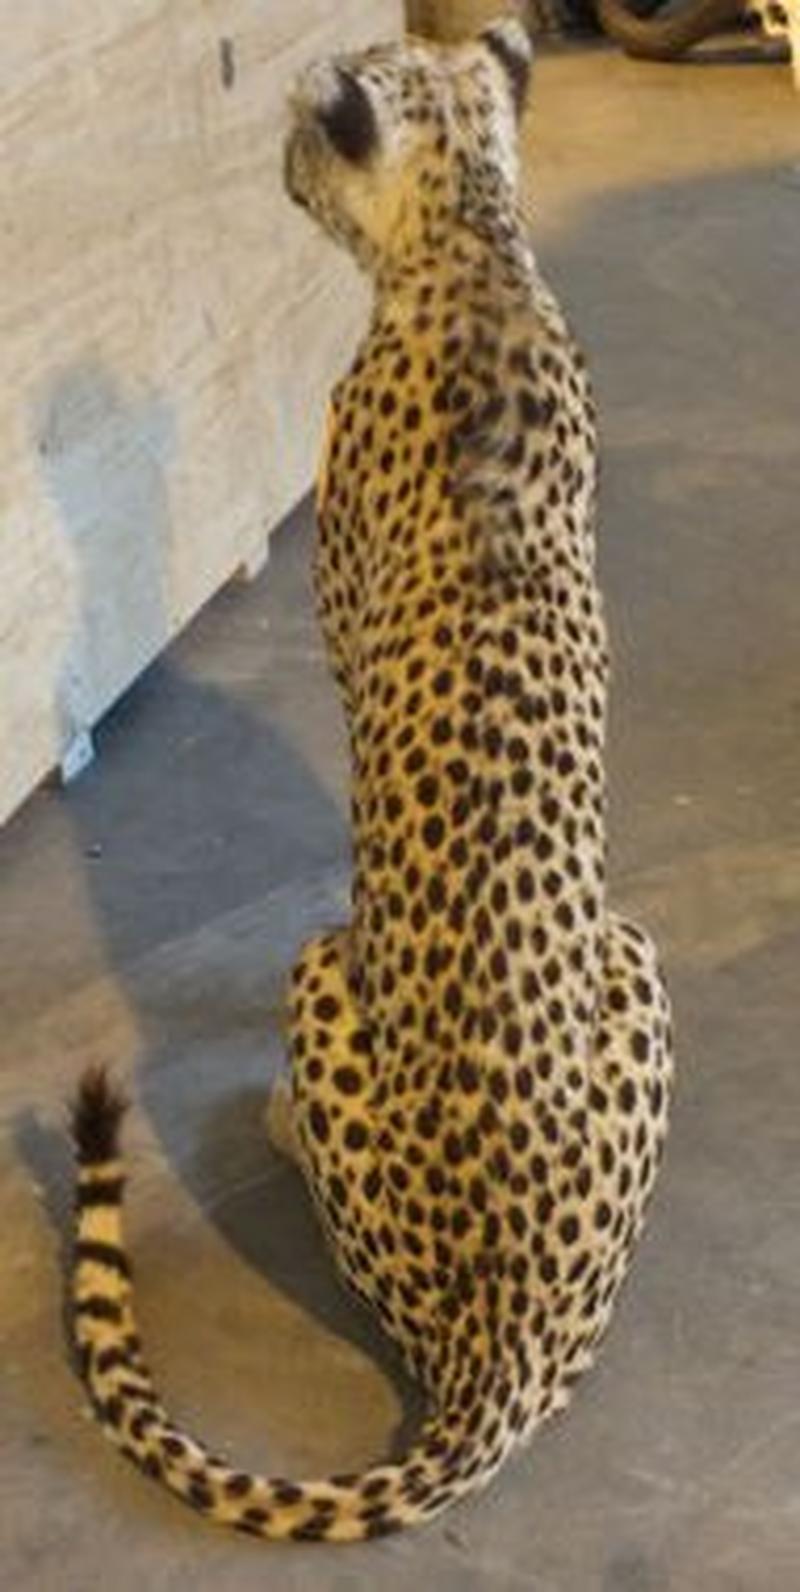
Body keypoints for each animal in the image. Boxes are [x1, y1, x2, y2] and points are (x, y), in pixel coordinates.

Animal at [68, 18, 674, 1543]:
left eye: (308, 128)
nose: (279, 163)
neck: (473, 247)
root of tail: (499, 1345)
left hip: (322, 974)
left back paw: (279, 1122)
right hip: (635, 949)